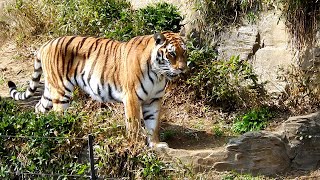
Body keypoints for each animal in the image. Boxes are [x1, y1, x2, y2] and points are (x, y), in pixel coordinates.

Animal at [6, 31, 188, 148]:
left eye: (184, 53)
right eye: (171, 54)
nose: (182, 69)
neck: (159, 74)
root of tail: (45, 44)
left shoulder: (154, 100)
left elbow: (153, 125)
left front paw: (156, 145)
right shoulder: (132, 97)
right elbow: (134, 125)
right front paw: (136, 146)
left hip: (51, 91)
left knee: (39, 108)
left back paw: (39, 131)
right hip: (61, 91)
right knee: (58, 117)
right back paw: (62, 138)